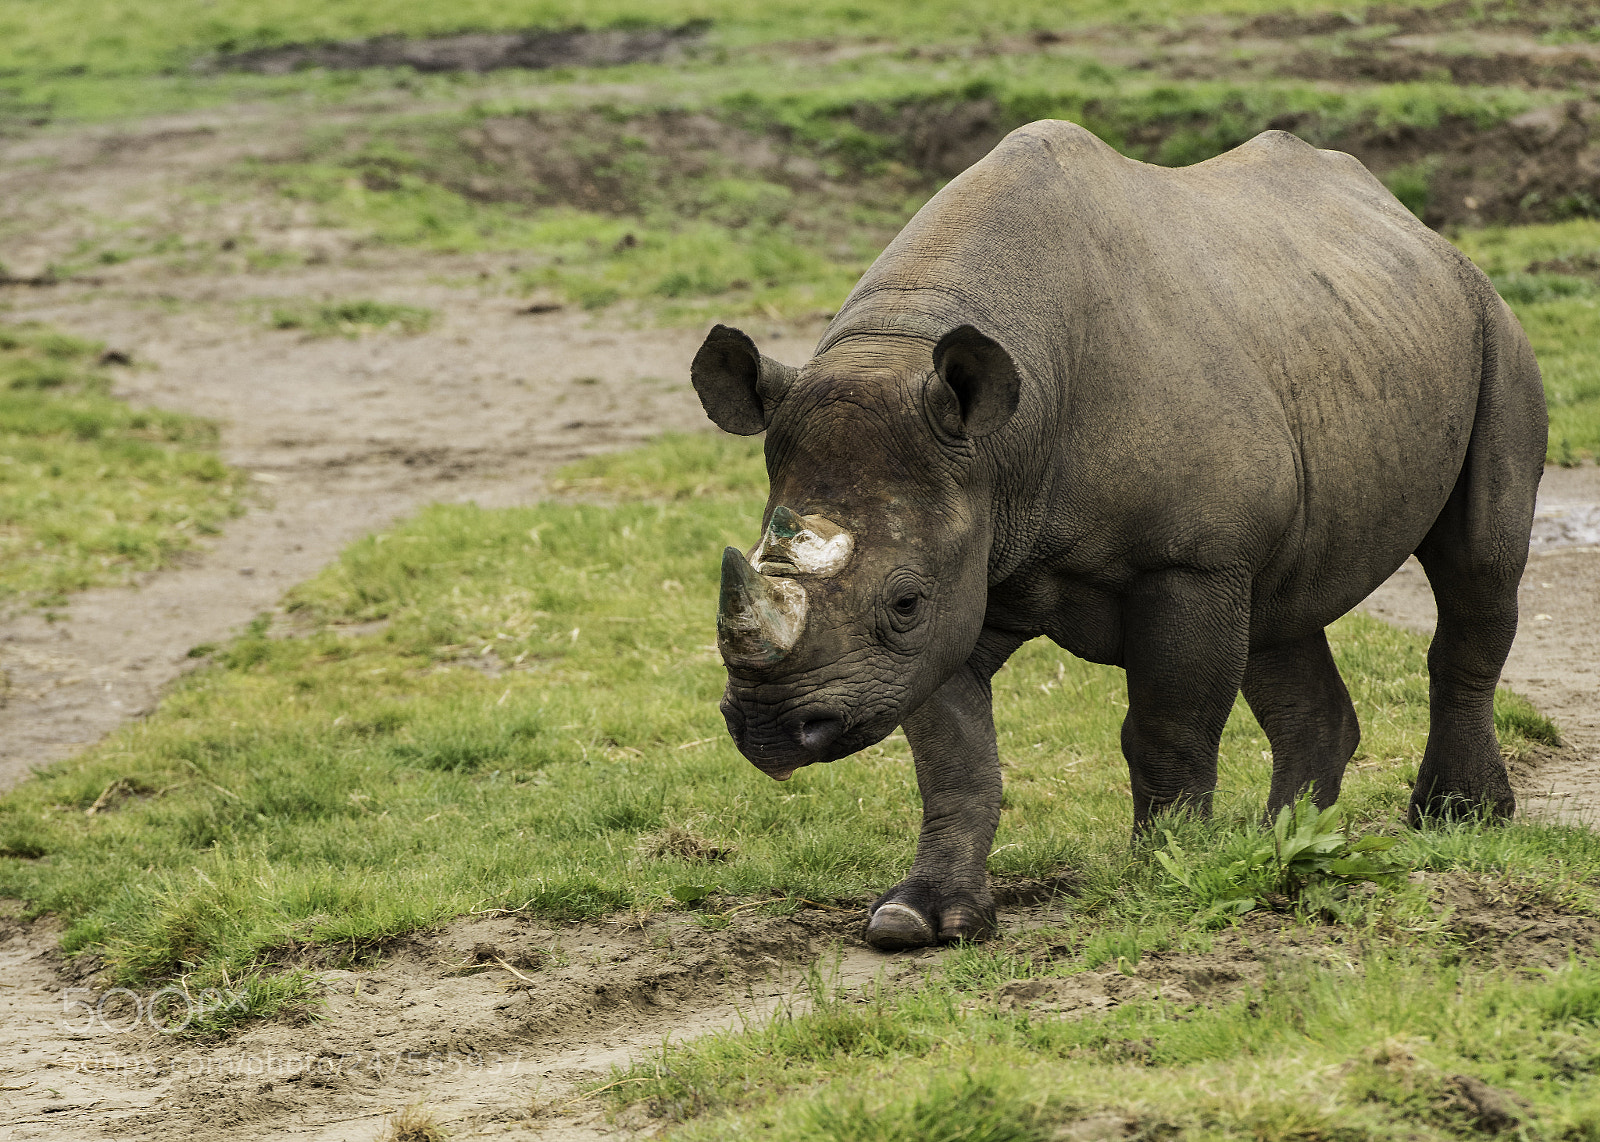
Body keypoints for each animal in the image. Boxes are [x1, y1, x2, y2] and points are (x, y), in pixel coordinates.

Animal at [689, 121, 1547, 951]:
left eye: (903, 603)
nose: (770, 728)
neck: (1000, 444)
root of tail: (1418, 227)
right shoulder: (968, 563)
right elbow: (952, 756)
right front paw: (917, 920)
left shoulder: (1188, 562)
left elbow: (1167, 727)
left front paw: (1165, 875)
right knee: (1280, 618)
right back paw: (1286, 844)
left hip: (1491, 328)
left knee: (1477, 569)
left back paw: (1457, 818)